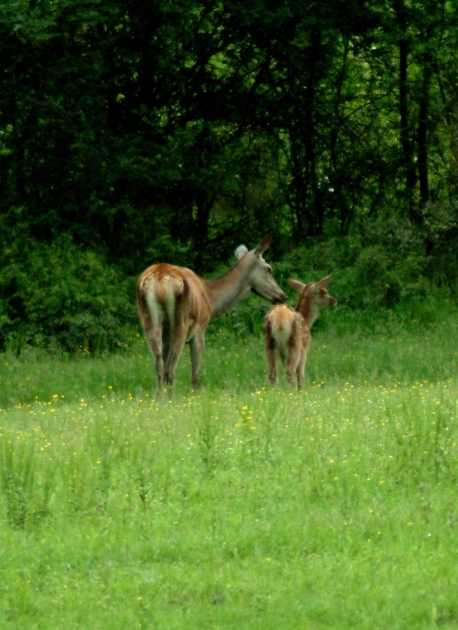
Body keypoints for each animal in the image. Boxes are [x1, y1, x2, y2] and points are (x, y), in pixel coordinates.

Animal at [136, 239, 286, 398]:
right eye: (269, 269)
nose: (282, 296)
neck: (211, 299)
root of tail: (159, 281)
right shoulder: (200, 328)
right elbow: (196, 374)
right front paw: (197, 396)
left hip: (149, 321)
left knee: (159, 364)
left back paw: (160, 398)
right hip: (181, 322)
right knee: (170, 367)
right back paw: (172, 399)